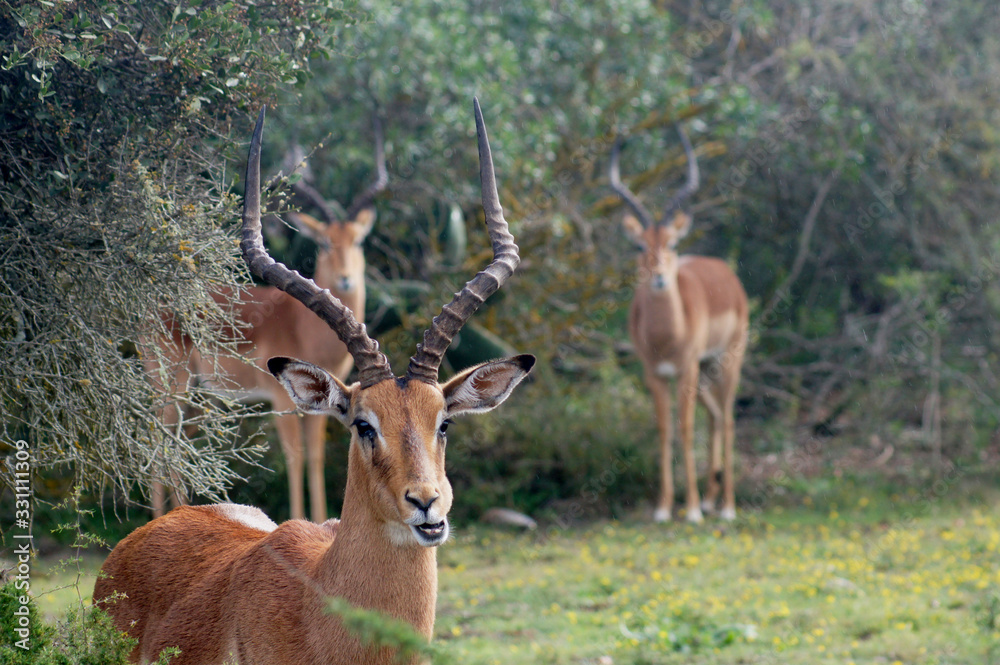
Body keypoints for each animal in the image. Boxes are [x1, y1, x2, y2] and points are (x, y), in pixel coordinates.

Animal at [149, 116, 387, 522]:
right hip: (172, 385)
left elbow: (315, 457)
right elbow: (294, 458)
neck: (303, 327)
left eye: (357, 241)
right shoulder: (280, 400)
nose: (346, 279)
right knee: (161, 445)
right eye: (324, 242)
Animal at [609, 125, 749, 523]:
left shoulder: (685, 369)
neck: (666, 335)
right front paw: (663, 507)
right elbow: (663, 430)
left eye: (671, 243)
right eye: (639, 246)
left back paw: (726, 506)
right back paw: (712, 498)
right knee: (714, 416)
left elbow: (685, 429)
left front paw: (691, 511)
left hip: (726, 361)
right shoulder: (655, 374)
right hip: (705, 370)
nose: (658, 277)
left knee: (728, 418)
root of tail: (725, 272)